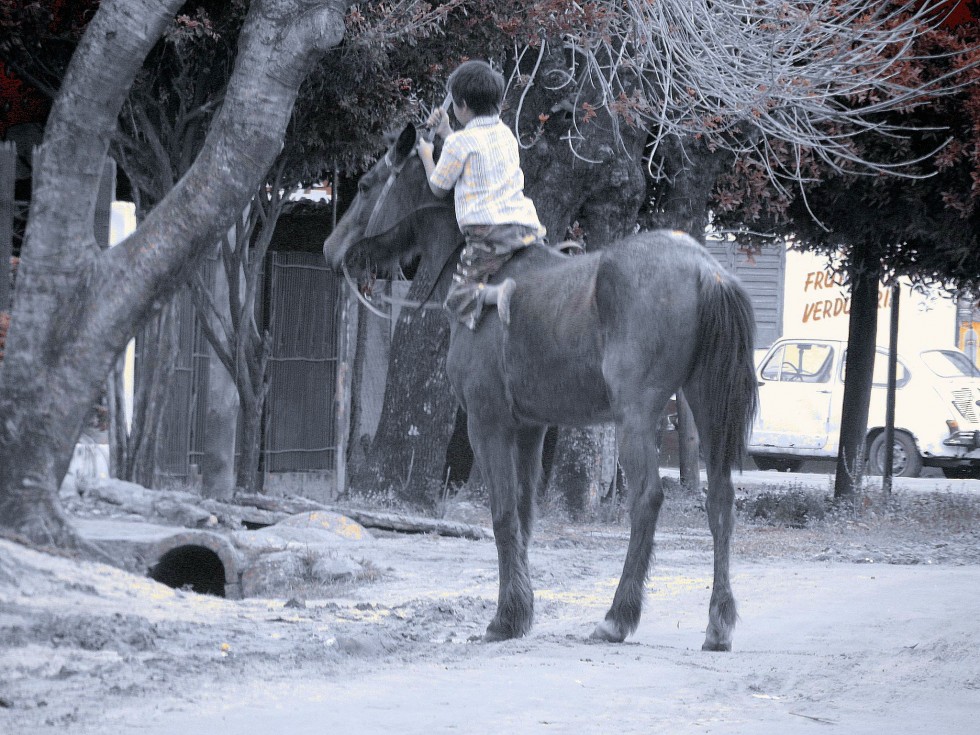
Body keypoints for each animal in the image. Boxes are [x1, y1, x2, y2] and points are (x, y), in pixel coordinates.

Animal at [326, 123, 760, 652]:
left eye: (366, 184)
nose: (332, 250)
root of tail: (705, 269)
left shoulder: (489, 424)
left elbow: (502, 514)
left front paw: (505, 617)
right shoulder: (530, 428)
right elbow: (525, 514)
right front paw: (519, 610)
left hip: (636, 417)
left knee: (646, 499)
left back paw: (618, 616)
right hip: (706, 406)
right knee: (721, 501)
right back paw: (718, 623)